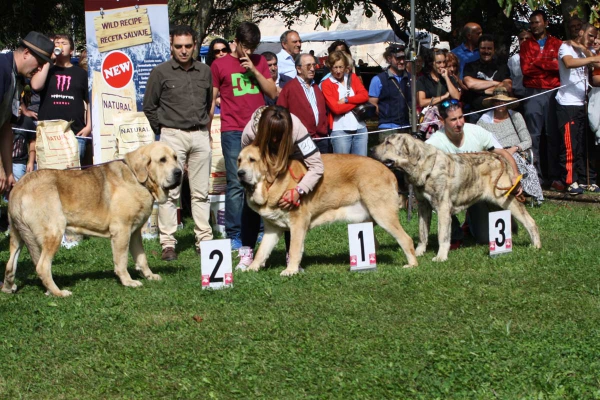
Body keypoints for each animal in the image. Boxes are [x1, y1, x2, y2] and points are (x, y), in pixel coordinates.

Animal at [2, 142, 182, 296]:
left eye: (175, 157)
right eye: (162, 160)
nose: (179, 172)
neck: (138, 179)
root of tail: (18, 187)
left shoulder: (135, 232)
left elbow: (142, 258)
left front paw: (150, 276)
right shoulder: (122, 231)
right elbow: (122, 260)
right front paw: (128, 281)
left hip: (18, 236)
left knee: (10, 265)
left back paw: (8, 288)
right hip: (54, 232)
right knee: (42, 267)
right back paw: (58, 292)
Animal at [236, 146, 418, 276]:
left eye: (252, 160)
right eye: (239, 160)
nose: (240, 173)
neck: (270, 184)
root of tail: (389, 172)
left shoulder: (298, 224)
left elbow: (294, 249)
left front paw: (290, 270)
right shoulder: (272, 229)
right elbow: (262, 251)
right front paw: (252, 268)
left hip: (383, 215)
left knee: (406, 239)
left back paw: (412, 265)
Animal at [372, 134, 540, 262]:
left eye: (388, 143)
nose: (372, 149)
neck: (425, 167)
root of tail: (499, 157)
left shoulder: (442, 208)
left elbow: (442, 235)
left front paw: (440, 257)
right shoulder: (423, 206)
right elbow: (422, 233)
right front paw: (419, 252)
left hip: (506, 200)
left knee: (530, 221)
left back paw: (536, 246)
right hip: (495, 205)